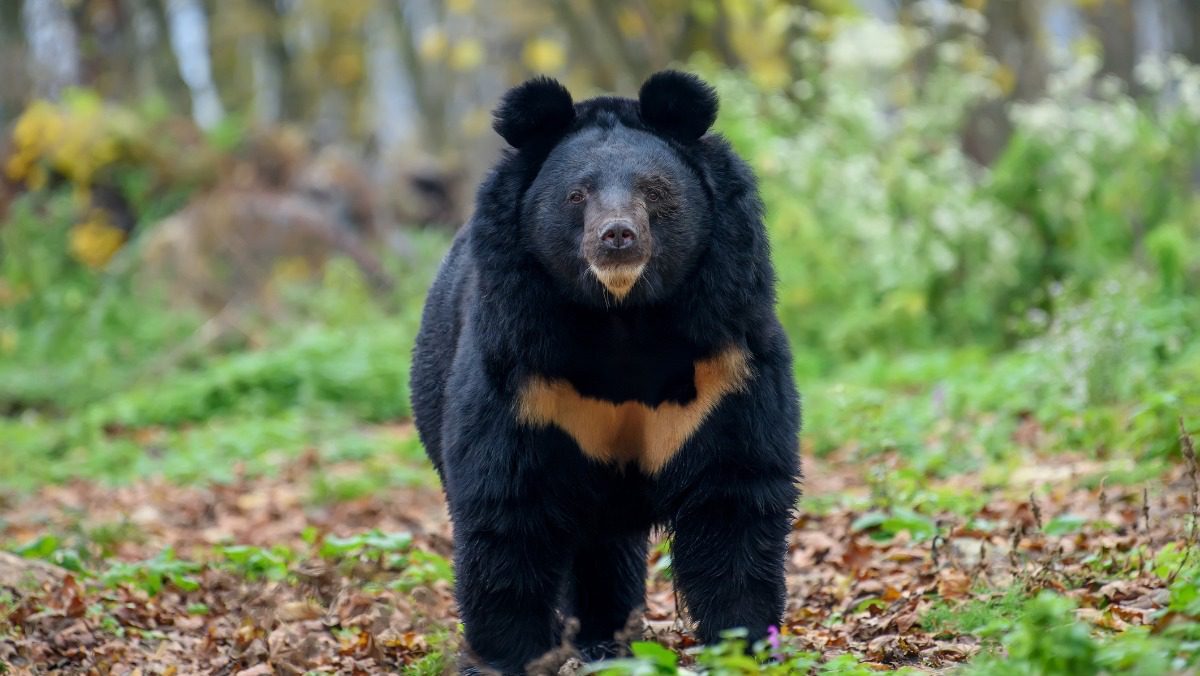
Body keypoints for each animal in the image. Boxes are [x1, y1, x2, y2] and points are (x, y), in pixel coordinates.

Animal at [410, 70, 802, 674]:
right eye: (577, 195)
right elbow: (507, 504)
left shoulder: (726, 356)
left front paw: (744, 643)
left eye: (654, 191)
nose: (617, 236)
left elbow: (734, 493)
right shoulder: (522, 367)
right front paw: (506, 655)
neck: (623, 317)